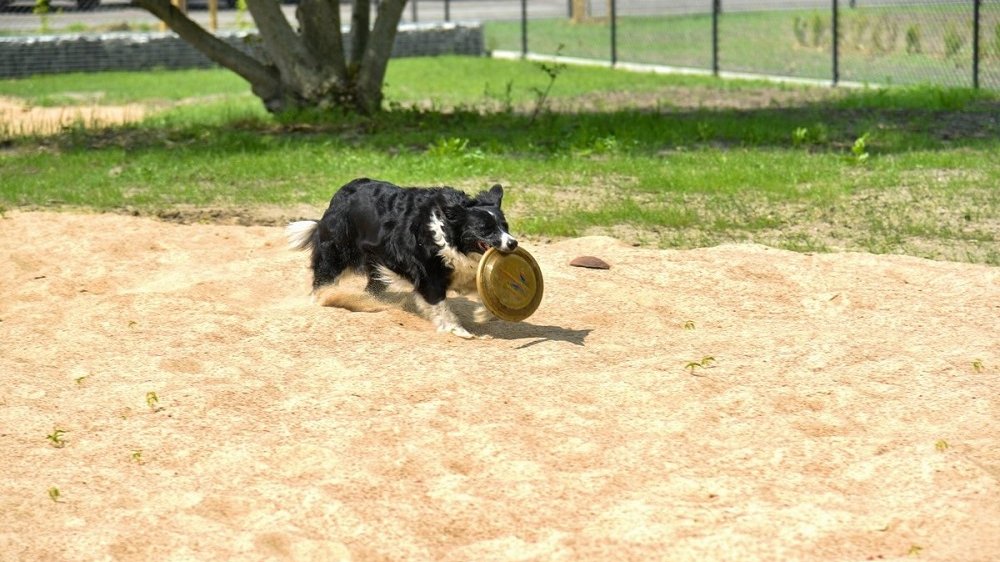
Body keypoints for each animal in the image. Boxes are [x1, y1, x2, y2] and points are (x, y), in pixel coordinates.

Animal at [282, 178, 516, 336]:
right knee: (324, 277)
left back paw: (372, 302)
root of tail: (339, 196)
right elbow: (439, 303)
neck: (447, 232)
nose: (513, 243)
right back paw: (323, 300)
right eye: (485, 229)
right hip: (338, 250)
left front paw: (483, 314)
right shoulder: (429, 275)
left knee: (372, 286)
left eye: (505, 226)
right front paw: (457, 330)